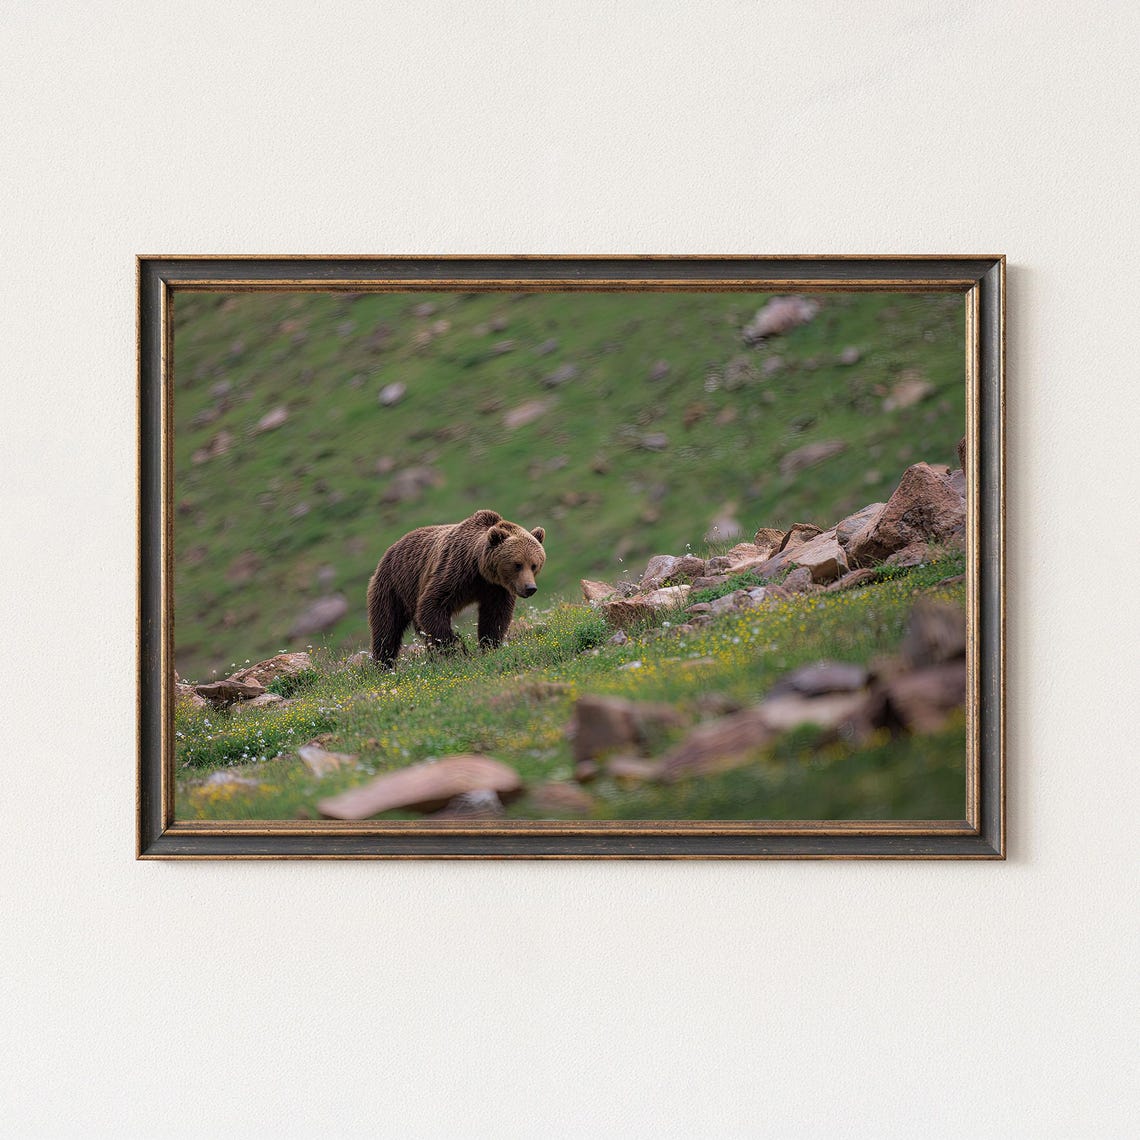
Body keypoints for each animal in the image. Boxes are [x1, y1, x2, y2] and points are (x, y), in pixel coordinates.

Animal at [366, 508, 546, 668]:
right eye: (517, 564)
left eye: (534, 565)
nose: (530, 588)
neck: (480, 571)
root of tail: (390, 550)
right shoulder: (456, 571)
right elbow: (431, 605)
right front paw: (456, 646)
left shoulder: (496, 589)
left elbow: (495, 615)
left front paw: (489, 646)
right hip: (393, 587)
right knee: (387, 628)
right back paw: (383, 664)